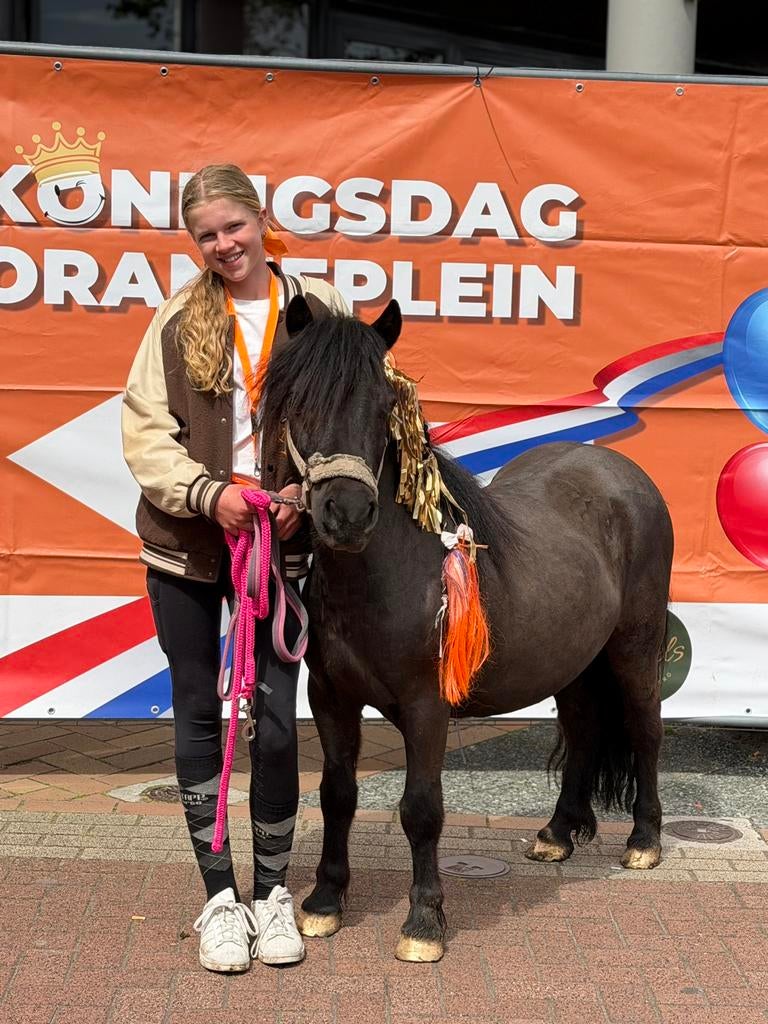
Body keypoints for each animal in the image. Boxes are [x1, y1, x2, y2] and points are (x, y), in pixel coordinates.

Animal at [261, 295, 674, 963]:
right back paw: (558, 832)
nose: (346, 514)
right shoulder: (330, 698)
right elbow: (336, 793)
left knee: (645, 729)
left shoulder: (426, 704)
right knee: (584, 728)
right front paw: (324, 902)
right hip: (573, 660)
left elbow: (422, 809)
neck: (383, 579)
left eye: (382, 406)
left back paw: (644, 840)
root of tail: (624, 474)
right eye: (299, 402)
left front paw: (424, 922)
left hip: (634, 648)